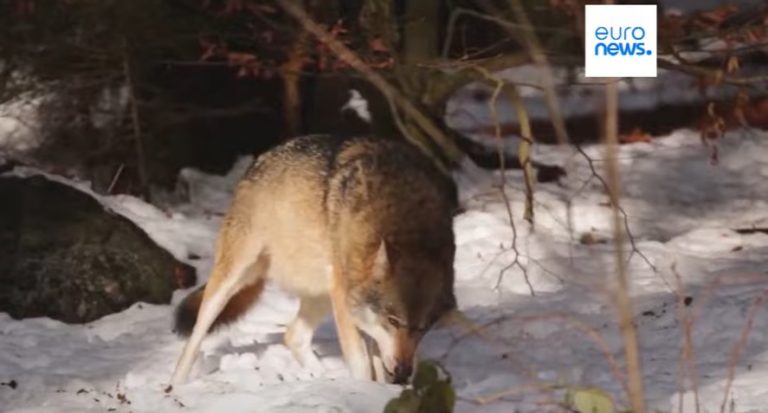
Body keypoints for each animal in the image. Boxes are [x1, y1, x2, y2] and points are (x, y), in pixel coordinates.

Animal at [170, 134, 459, 385]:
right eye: (394, 321)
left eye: (422, 328)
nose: (403, 373)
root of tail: (261, 157)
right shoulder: (347, 303)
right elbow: (361, 363)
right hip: (233, 278)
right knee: (196, 334)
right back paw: (176, 385)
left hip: (322, 291)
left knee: (293, 336)